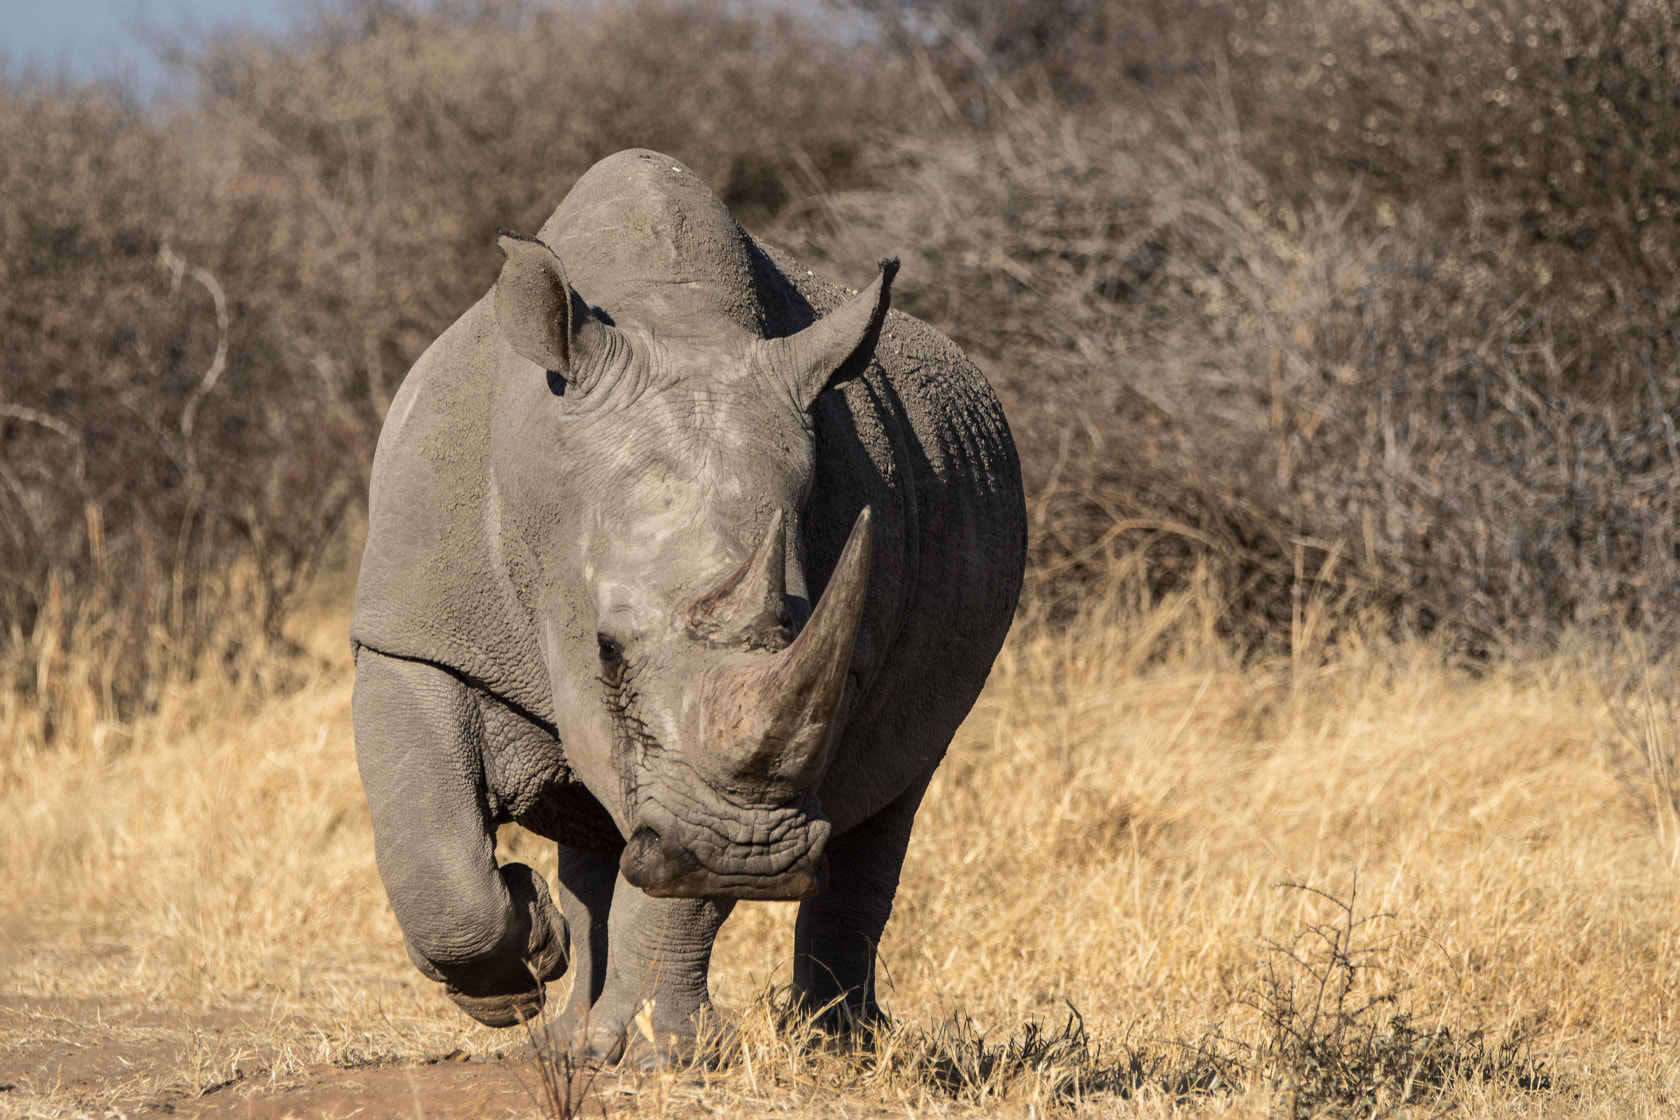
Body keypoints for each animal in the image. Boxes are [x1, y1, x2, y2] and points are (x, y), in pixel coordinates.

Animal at [354, 148, 1021, 1061]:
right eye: (603, 649)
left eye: (820, 644)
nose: (748, 856)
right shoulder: (410, 631)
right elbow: (434, 855)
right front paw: (526, 958)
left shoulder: (727, 774)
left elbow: (684, 869)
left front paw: (651, 1055)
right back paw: (563, 1031)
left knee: (892, 794)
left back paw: (833, 1047)